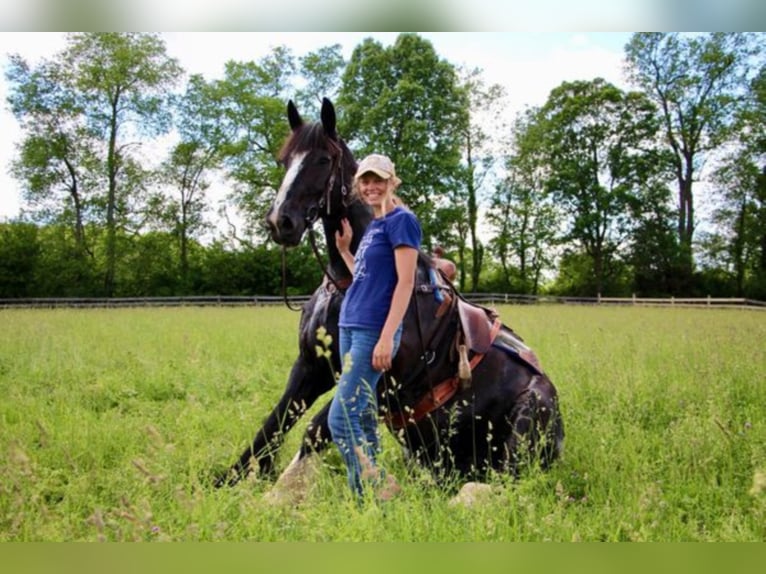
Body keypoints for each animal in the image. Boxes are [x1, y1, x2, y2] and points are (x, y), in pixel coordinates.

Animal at [216, 97, 564, 502]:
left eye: (322, 159)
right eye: (284, 161)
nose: (279, 222)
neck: (348, 281)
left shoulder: (380, 382)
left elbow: (317, 428)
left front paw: (279, 494)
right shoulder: (311, 368)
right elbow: (273, 425)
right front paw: (227, 482)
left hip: (531, 413)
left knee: (509, 483)